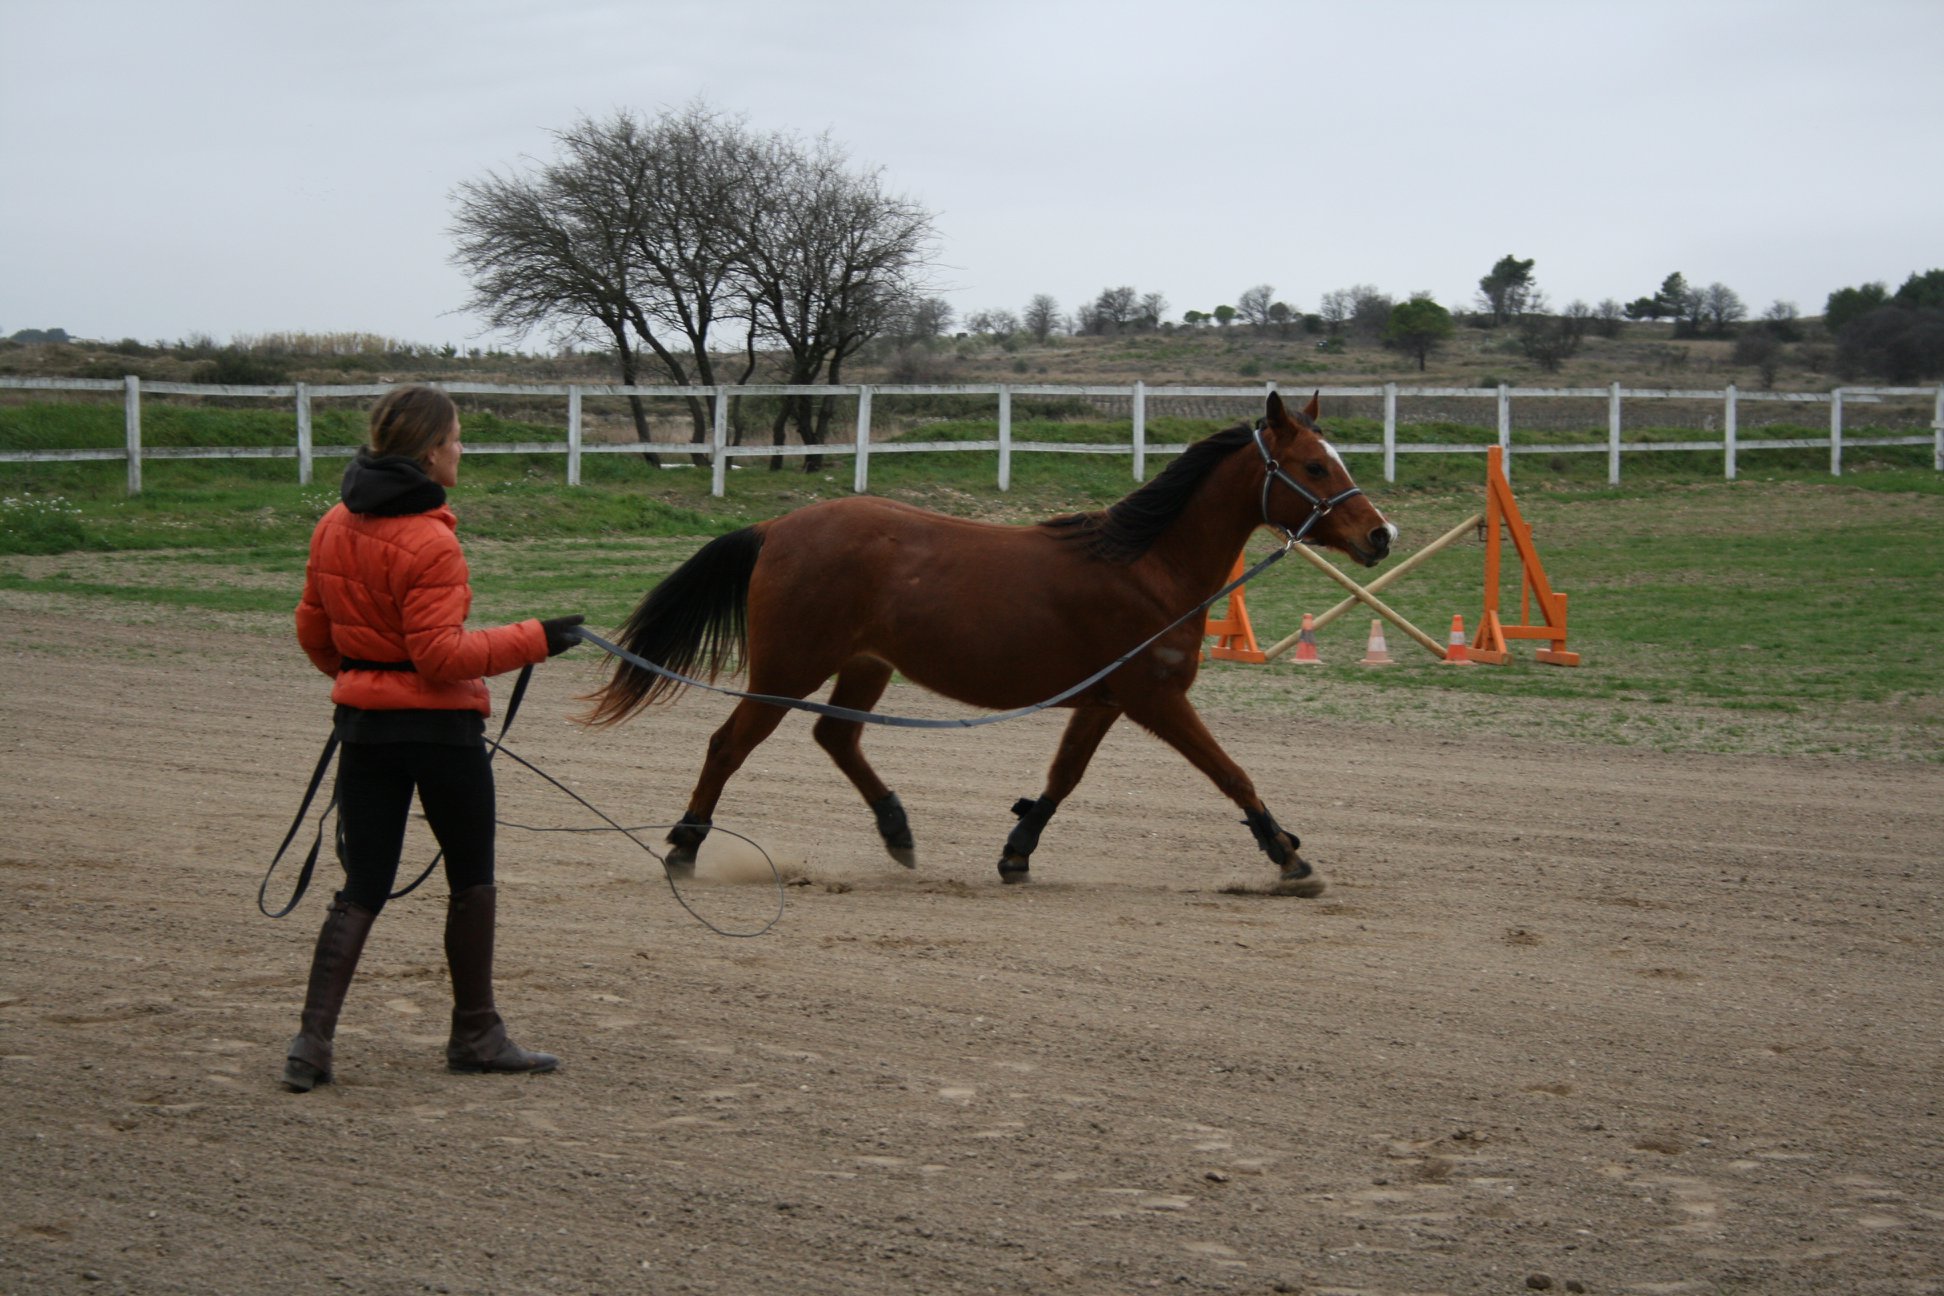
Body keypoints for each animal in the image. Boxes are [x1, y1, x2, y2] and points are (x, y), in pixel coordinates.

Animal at [583, 390, 1391, 897]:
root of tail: (778, 527)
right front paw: (1288, 859)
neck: (1145, 565)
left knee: (836, 737)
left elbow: (1063, 777)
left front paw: (1016, 851)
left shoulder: (1104, 701)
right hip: (788, 668)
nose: (1381, 535)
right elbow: (1234, 775)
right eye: (1315, 466)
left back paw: (898, 829)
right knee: (729, 745)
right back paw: (685, 847)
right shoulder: (1154, 699)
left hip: (865, 665)